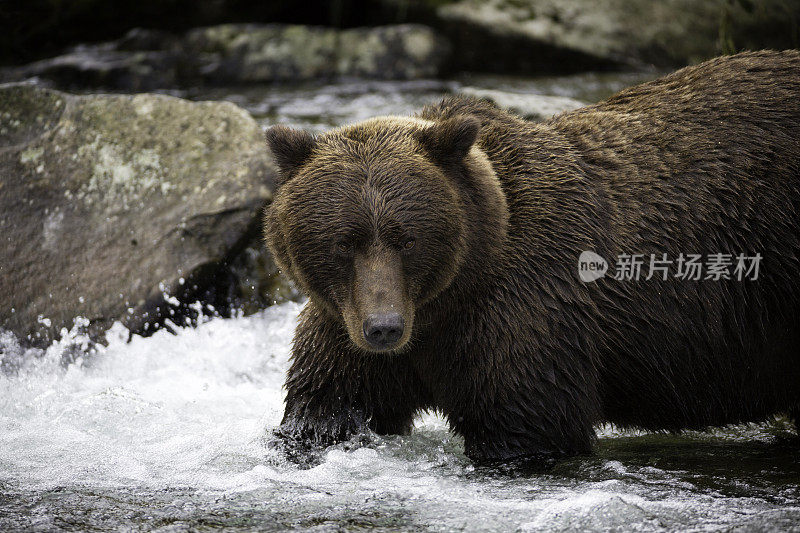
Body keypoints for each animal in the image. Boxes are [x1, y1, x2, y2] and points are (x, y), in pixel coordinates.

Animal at [264, 51, 800, 466]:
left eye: (407, 239)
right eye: (344, 241)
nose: (384, 328)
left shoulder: (529, 306)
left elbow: (526, 423)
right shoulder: (346, 321)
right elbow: (327, 411)